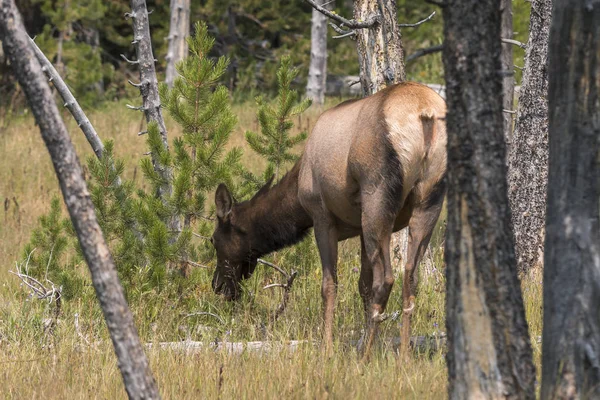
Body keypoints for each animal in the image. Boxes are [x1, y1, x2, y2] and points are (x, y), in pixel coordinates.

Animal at [211, 82, 446, 360]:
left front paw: (328, 348)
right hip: (429, 199)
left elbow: (329, 285)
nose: (217, 285)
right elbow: (363, 286)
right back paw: (403, 357)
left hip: (377, 195)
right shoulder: (359, 228)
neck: (296, 198)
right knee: (411, 276)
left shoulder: (321, 216)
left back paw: (364, 357)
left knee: (387, 279)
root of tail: (425, 113)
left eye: (213, 240)